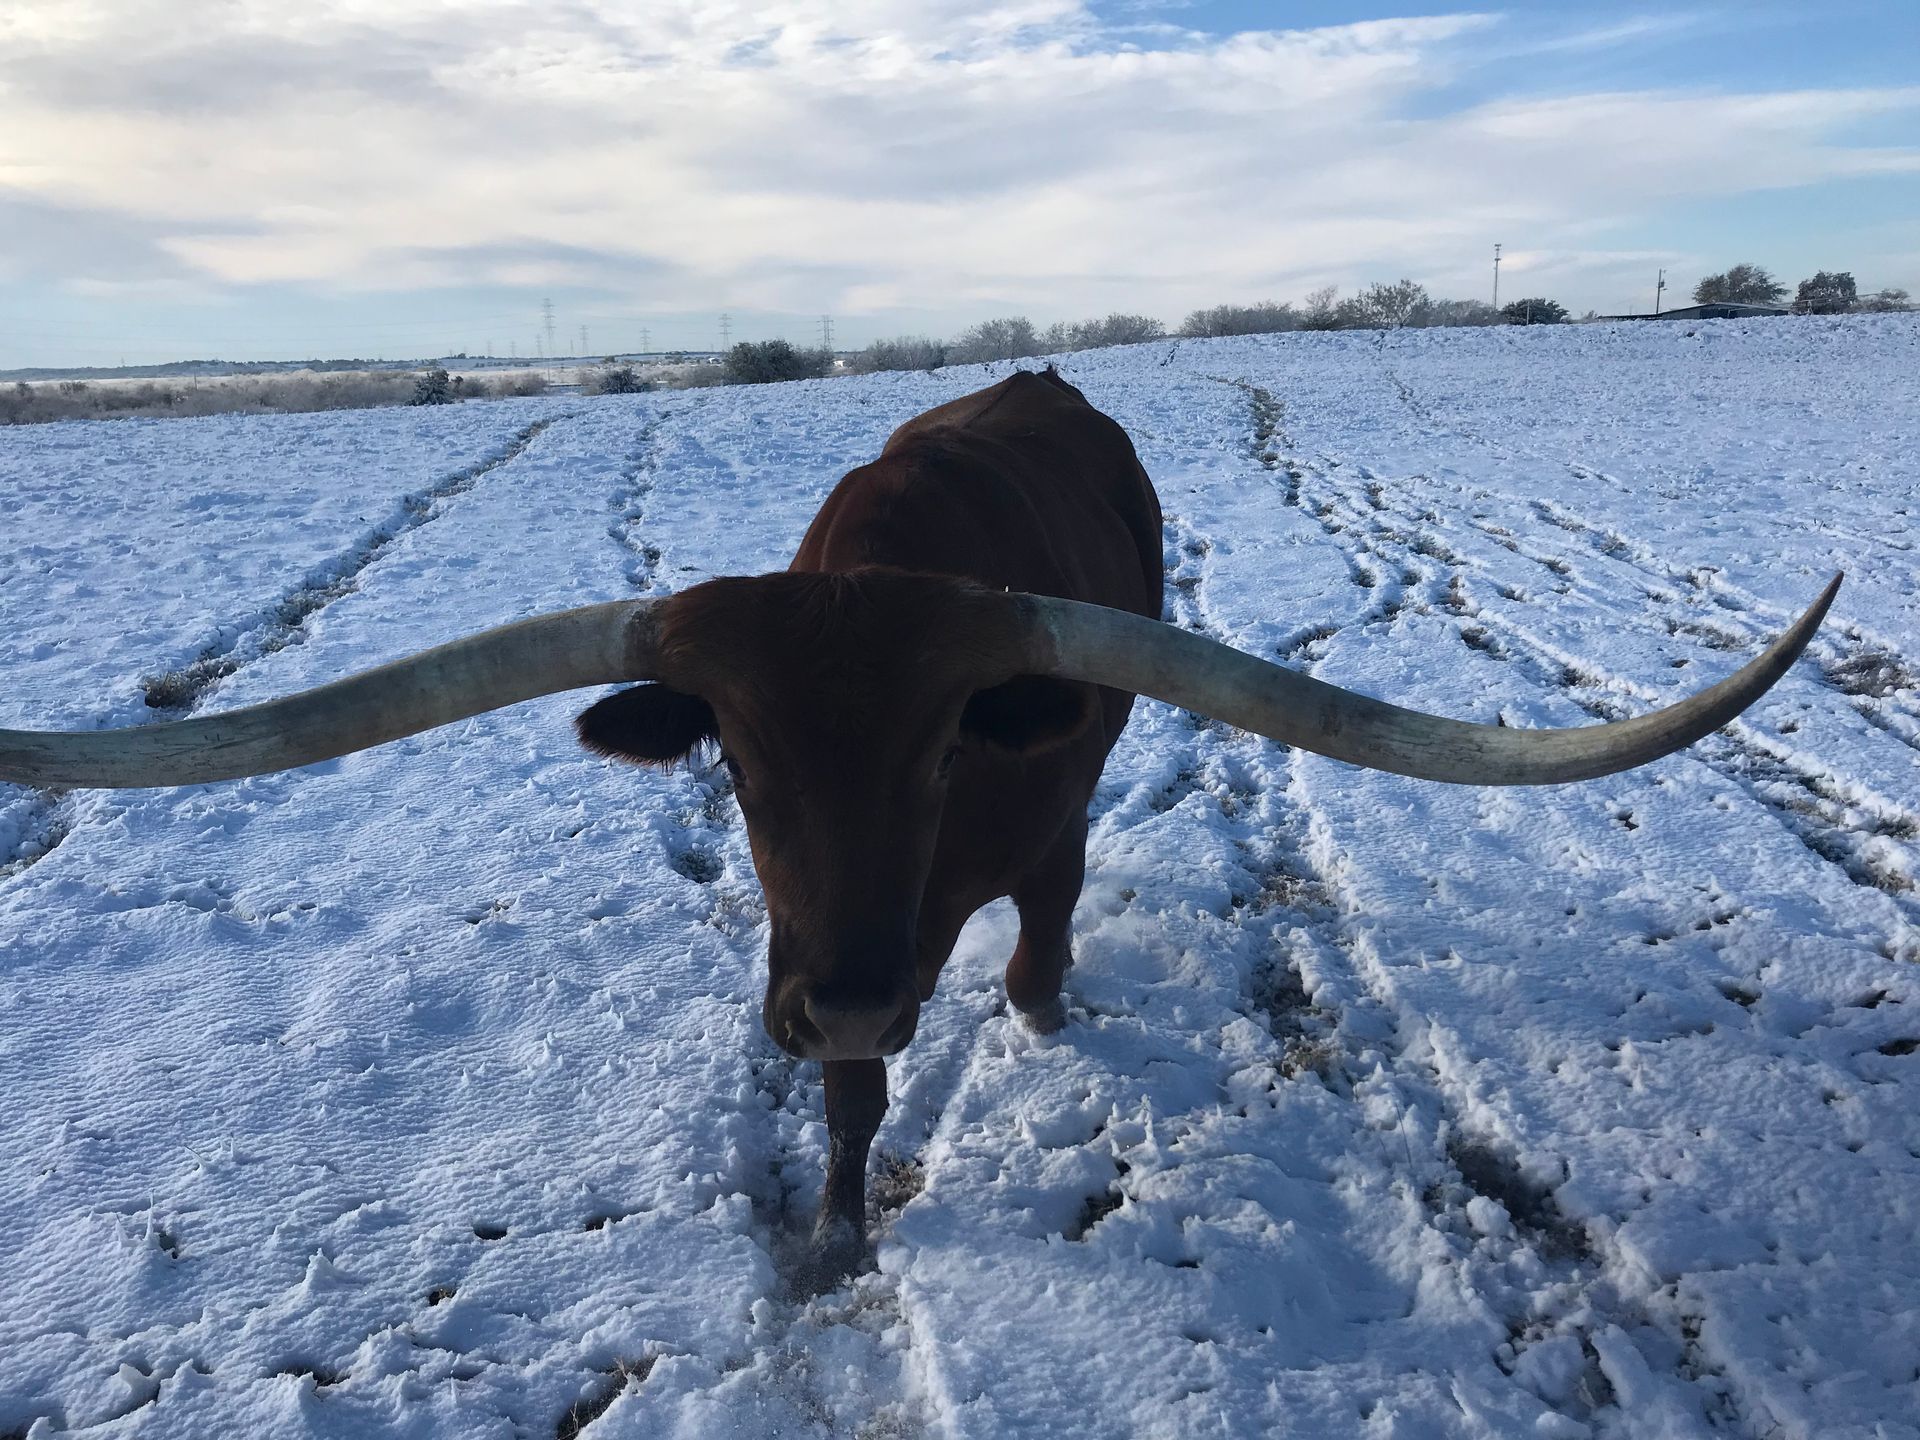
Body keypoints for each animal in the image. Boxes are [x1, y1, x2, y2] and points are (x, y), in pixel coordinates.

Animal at [0, 369, 1839, 1286]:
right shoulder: (814, 956)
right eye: (735, 764)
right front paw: (832, 1225)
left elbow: (1037, 934)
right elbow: (848, 1100)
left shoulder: (1028, 832)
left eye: (950, 746)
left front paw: (1033, 1020)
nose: (855, 992)